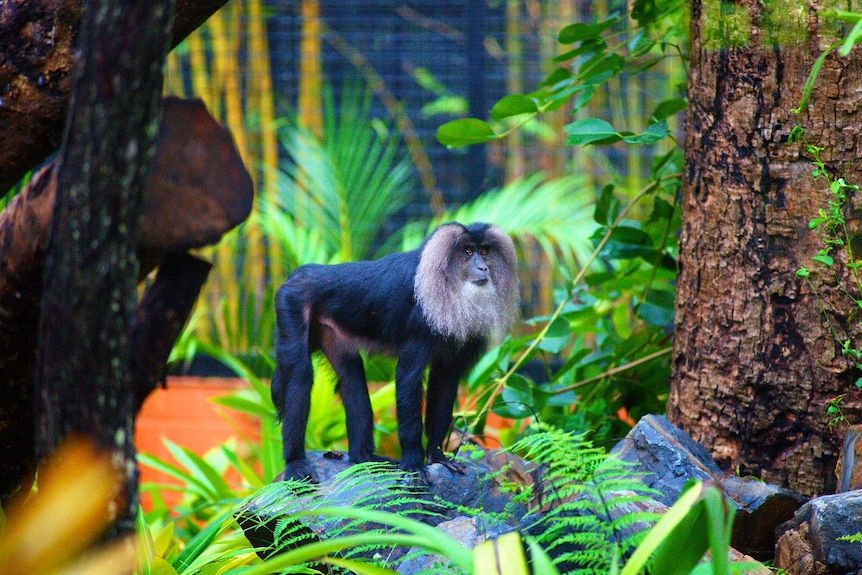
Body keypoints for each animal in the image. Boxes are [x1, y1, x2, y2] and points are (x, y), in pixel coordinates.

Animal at [274, 223, 524, 484]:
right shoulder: (420, 324)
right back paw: (295, 462)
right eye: (467, 252)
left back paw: (364, 457)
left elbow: (443, 384)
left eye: (484, 252)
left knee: (351, 376)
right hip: (291, 303)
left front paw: (437, 456)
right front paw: (413, 463)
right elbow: (408, 379)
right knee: (299, 376)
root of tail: (300, 273)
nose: (483, 267)